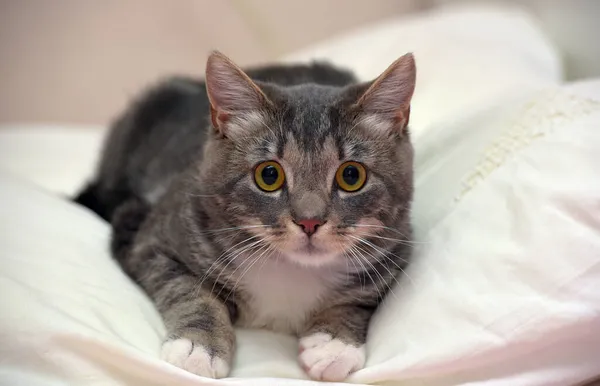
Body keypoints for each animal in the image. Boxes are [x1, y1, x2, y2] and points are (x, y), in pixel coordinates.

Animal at [75, 50, 414, 380]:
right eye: (269, 175)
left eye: (351, 176)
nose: (309, 221)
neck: (292, 270)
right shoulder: (151, 240)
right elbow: (188, 289)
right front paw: (200, 345)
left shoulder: (396, 252)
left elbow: (361, 299)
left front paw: (334, 343)